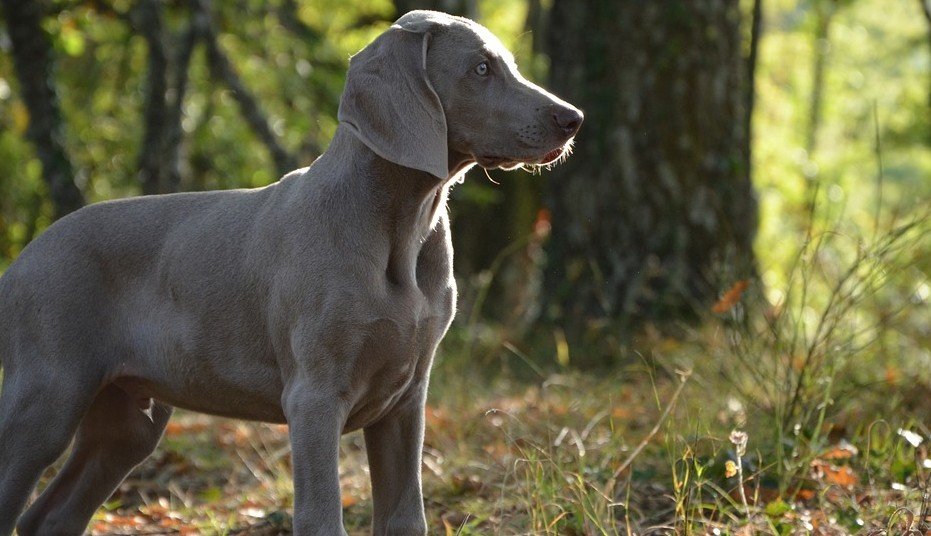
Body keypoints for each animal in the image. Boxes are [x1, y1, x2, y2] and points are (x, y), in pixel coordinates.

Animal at [0, 9, 584, 536]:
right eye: (481, 69)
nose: (573, 118)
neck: (400, 226)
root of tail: (24, 257)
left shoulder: (406, 399)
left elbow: (405, 517)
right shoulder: (314, 397)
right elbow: (322, 517)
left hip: (126, 421)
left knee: (50, 515)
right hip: (47, 396)